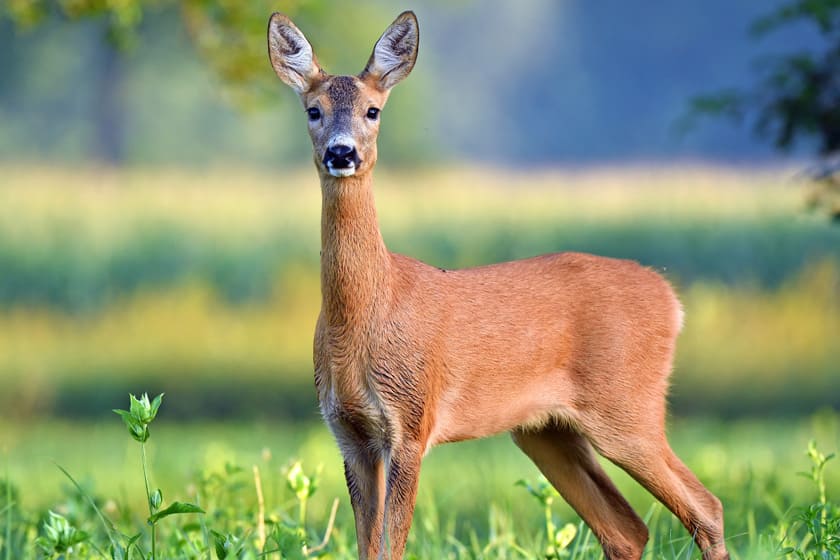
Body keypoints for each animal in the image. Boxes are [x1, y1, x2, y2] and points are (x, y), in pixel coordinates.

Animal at [267, 10, 729, 560]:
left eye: (373, 110)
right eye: (313, 110)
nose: (342, 152)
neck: (366, 314)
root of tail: (671, 299)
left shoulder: (412, 421)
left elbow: (391, 545)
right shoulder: (348, 433)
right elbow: (368, 547)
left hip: (627, 405)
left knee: (706, 507)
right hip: (545, 430)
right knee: (627, 528)